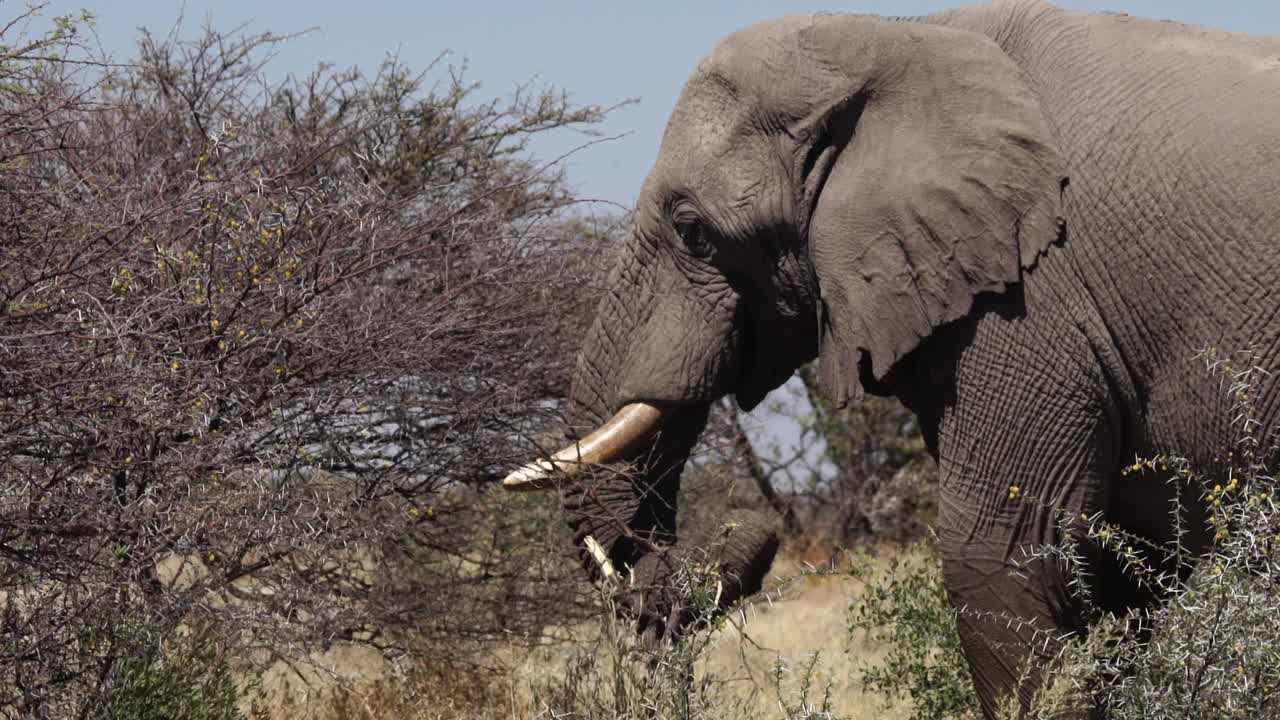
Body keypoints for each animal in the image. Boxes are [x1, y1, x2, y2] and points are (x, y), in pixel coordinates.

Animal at [499, 1, 1280, 712]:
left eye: (692, 230)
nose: (755, 527)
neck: (900, 34)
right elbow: (1116, 570)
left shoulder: (1029, 299)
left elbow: (1000, 555)